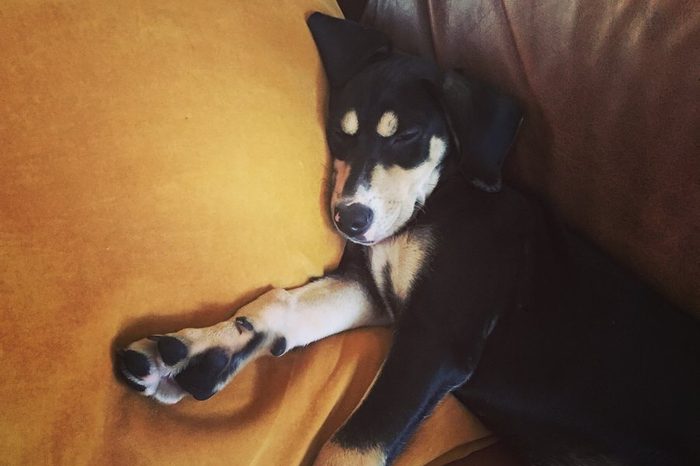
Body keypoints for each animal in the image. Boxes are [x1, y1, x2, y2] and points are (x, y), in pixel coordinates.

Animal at [116, 13, 700, 466]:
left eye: (407, 136)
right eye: (340, 131)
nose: (348, 220)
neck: (437, 200)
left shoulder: (436, 339)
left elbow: (350, 446)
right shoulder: (373, 292)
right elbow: (280, 305)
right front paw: (193, 350)